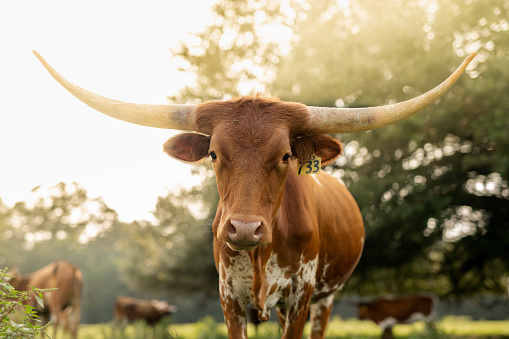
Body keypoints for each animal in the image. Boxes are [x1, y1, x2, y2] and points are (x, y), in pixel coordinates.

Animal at [33, 49, 474, 338]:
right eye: (214, 153)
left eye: (285, 156)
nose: (244, 229)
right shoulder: (230, 298)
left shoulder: (301, 296)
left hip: (325, 300)